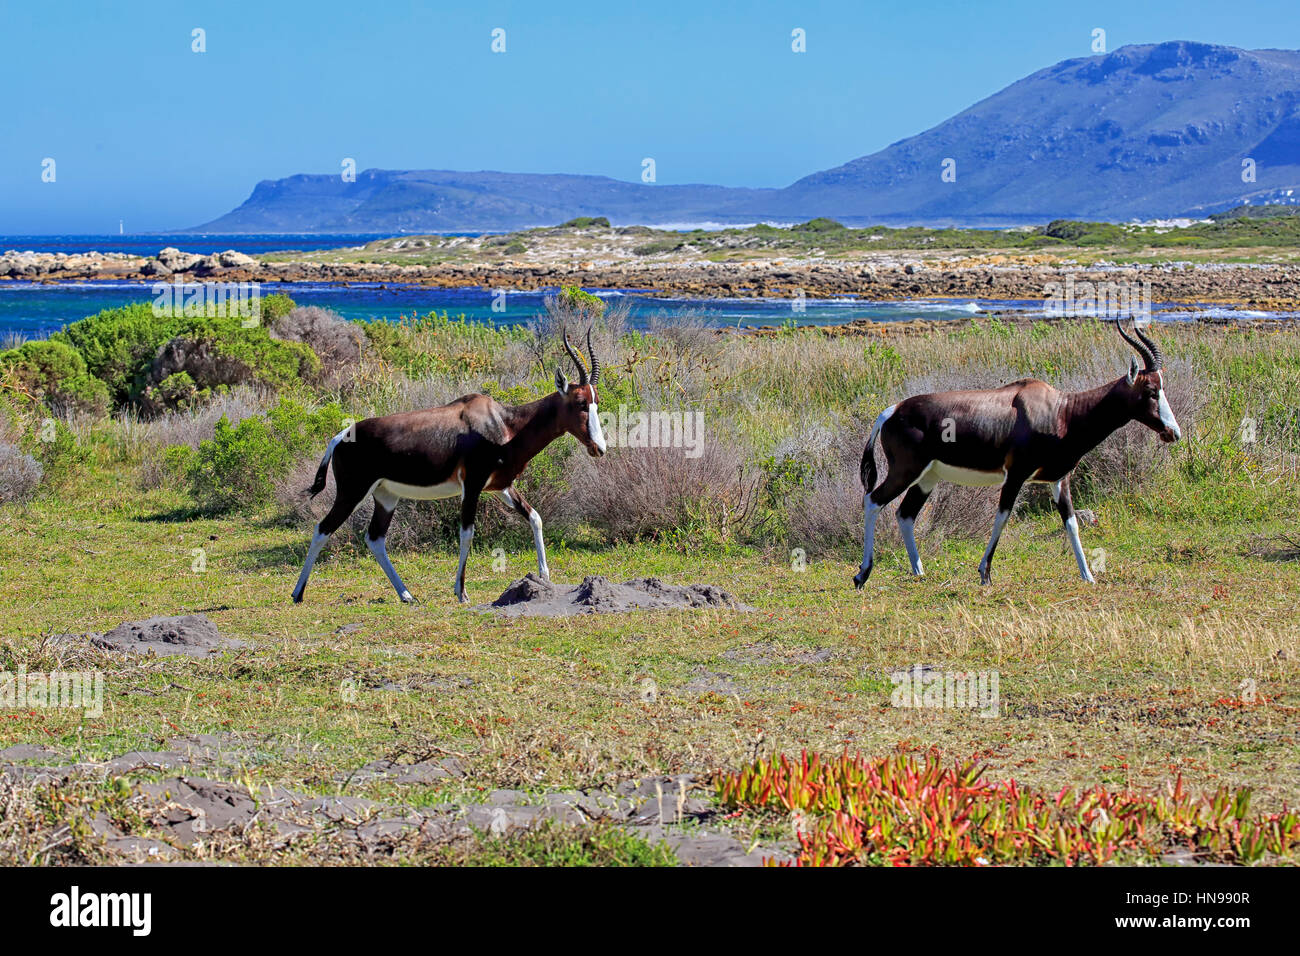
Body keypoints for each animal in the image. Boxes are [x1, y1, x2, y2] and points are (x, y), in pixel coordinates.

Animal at [292, 332, 605, 600]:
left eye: (596, 401)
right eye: (580, 402)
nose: (599, 448)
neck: (503, 423)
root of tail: (341, 436)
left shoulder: (501, 486)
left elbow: (535, 517)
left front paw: (544, 577)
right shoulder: (473, 486)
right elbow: (467, 533)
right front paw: (461, 592)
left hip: (386, 496)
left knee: (375, 538)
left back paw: (407, 595)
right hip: (352, 492)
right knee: (322, 529)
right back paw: (298, 594)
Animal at [847, 321, 1185, 587]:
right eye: (1151, 390)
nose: (1174, 432)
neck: (1061, 410)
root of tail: (892, 411)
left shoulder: (1059, 480)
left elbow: (1072, 522)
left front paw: (1088, 576)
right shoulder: (1016, 475)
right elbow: (1003, 516)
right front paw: (984, 573)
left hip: (927, 478)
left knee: (905, 514)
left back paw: (919, 572)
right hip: (905, 471)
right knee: (873, 500)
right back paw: (862, 574)